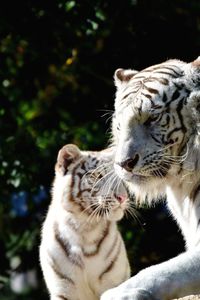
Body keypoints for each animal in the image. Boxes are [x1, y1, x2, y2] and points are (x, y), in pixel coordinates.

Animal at [39, 144, 131, 298]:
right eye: (97, 176)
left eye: (118, 177)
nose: (123, 197)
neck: (85, 228)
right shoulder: (63, 288)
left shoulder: (115, 282)